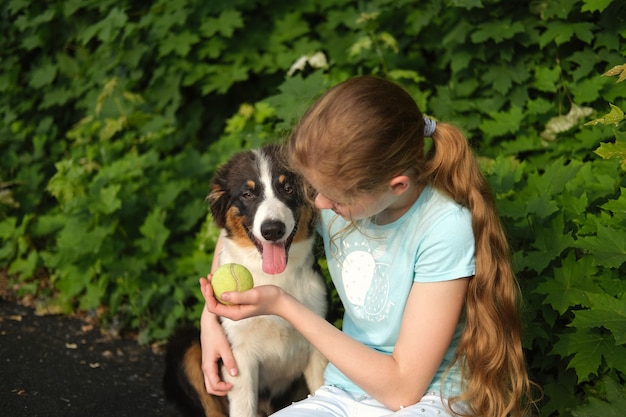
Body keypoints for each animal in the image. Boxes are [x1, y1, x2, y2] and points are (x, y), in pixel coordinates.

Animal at [162, 144, 326, 416]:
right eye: (248, 194)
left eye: (289, 189)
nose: (272, 230)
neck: (275, 277)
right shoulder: (238, 355)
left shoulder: (317, 348)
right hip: (186, 345)